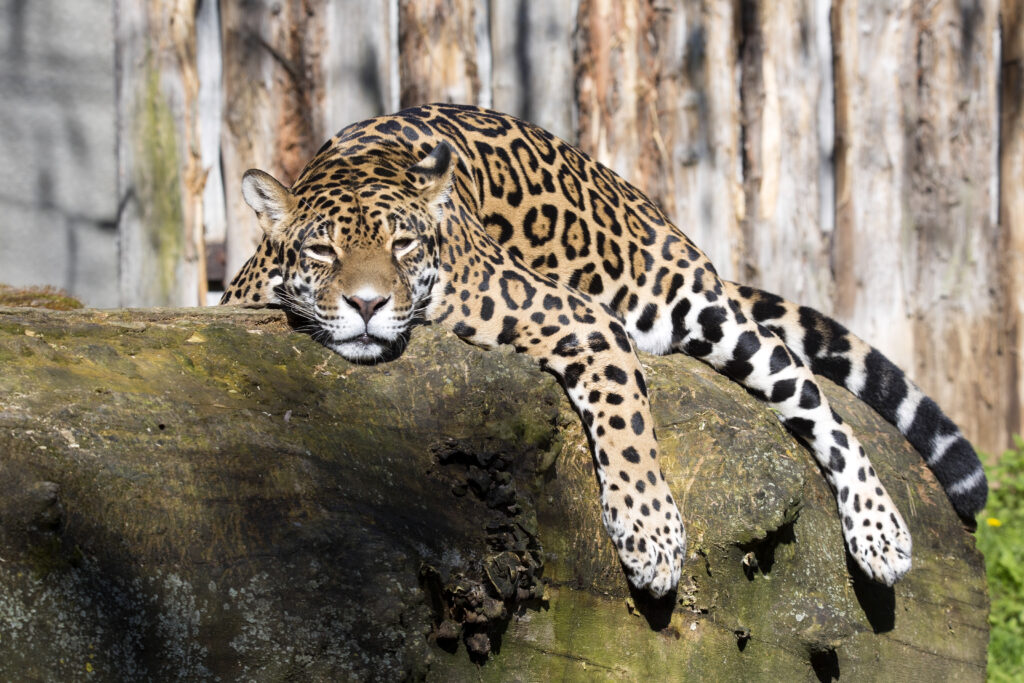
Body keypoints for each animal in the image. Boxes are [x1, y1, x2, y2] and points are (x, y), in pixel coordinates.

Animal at [221, 103, 987, 598]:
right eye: (322, 251)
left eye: (403, 245)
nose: (368, 304)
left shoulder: (578, 317)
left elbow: (628, 423)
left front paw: (651, 535)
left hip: (700, 306)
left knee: (808, 391)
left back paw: (879, 529)